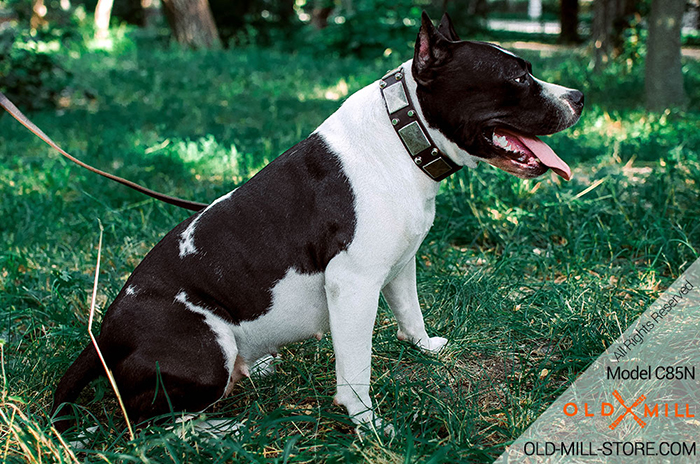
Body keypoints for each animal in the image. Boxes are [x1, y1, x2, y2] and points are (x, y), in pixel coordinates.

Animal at [52, 14, 584, 436]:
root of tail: (104, 335)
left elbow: (411, 311)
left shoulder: (401, 264)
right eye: (518, 77)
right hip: (207, 350)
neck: (403, 135)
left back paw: (256, 368)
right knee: (144, 419)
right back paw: (215, 428)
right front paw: (367, 422)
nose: (579, 95)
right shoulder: (353, 285)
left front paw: (425, 347)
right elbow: (356, 367)